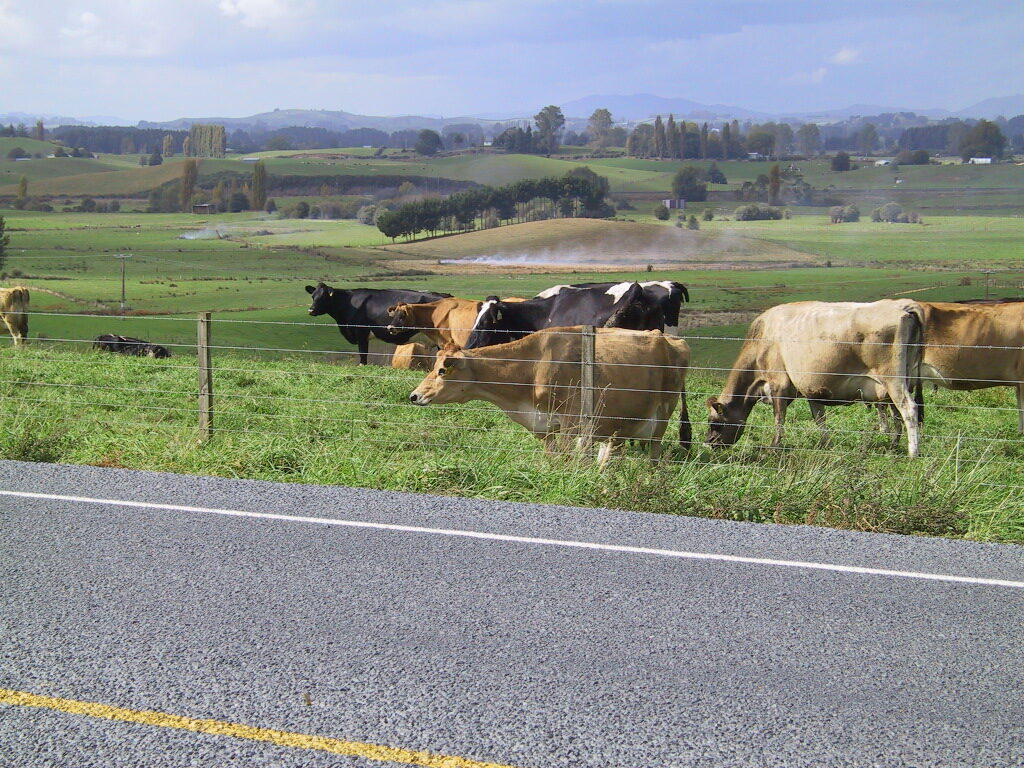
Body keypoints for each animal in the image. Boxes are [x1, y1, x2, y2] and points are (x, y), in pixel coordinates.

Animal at [304, 283, 451, 365]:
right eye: (313, 296)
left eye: (324, 297)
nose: (311, 310)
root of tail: (444, 295)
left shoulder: (361, 333)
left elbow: (363, 354)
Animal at [409, 327, 691, 464]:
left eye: (442, 370)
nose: (414, 396)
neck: (533, 365)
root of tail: (668, 337)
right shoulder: (544, 426)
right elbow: (552, 459)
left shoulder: (571, 422)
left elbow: (567, 459)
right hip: (618, 423)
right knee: (611, 452)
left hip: (662, 414)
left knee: (654, 451)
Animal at [706, 300, 925, 457]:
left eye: (715, 422)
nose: (708, 443)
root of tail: (903, 307)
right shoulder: (812, 389)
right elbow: (819, 418)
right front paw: (824, 444)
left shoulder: (779, 385)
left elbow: (779, 419)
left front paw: (774, 447)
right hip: (902, 380)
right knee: (897, 414)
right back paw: (894, 446)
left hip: (893, 379)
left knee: (908, 409)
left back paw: (913, 453)